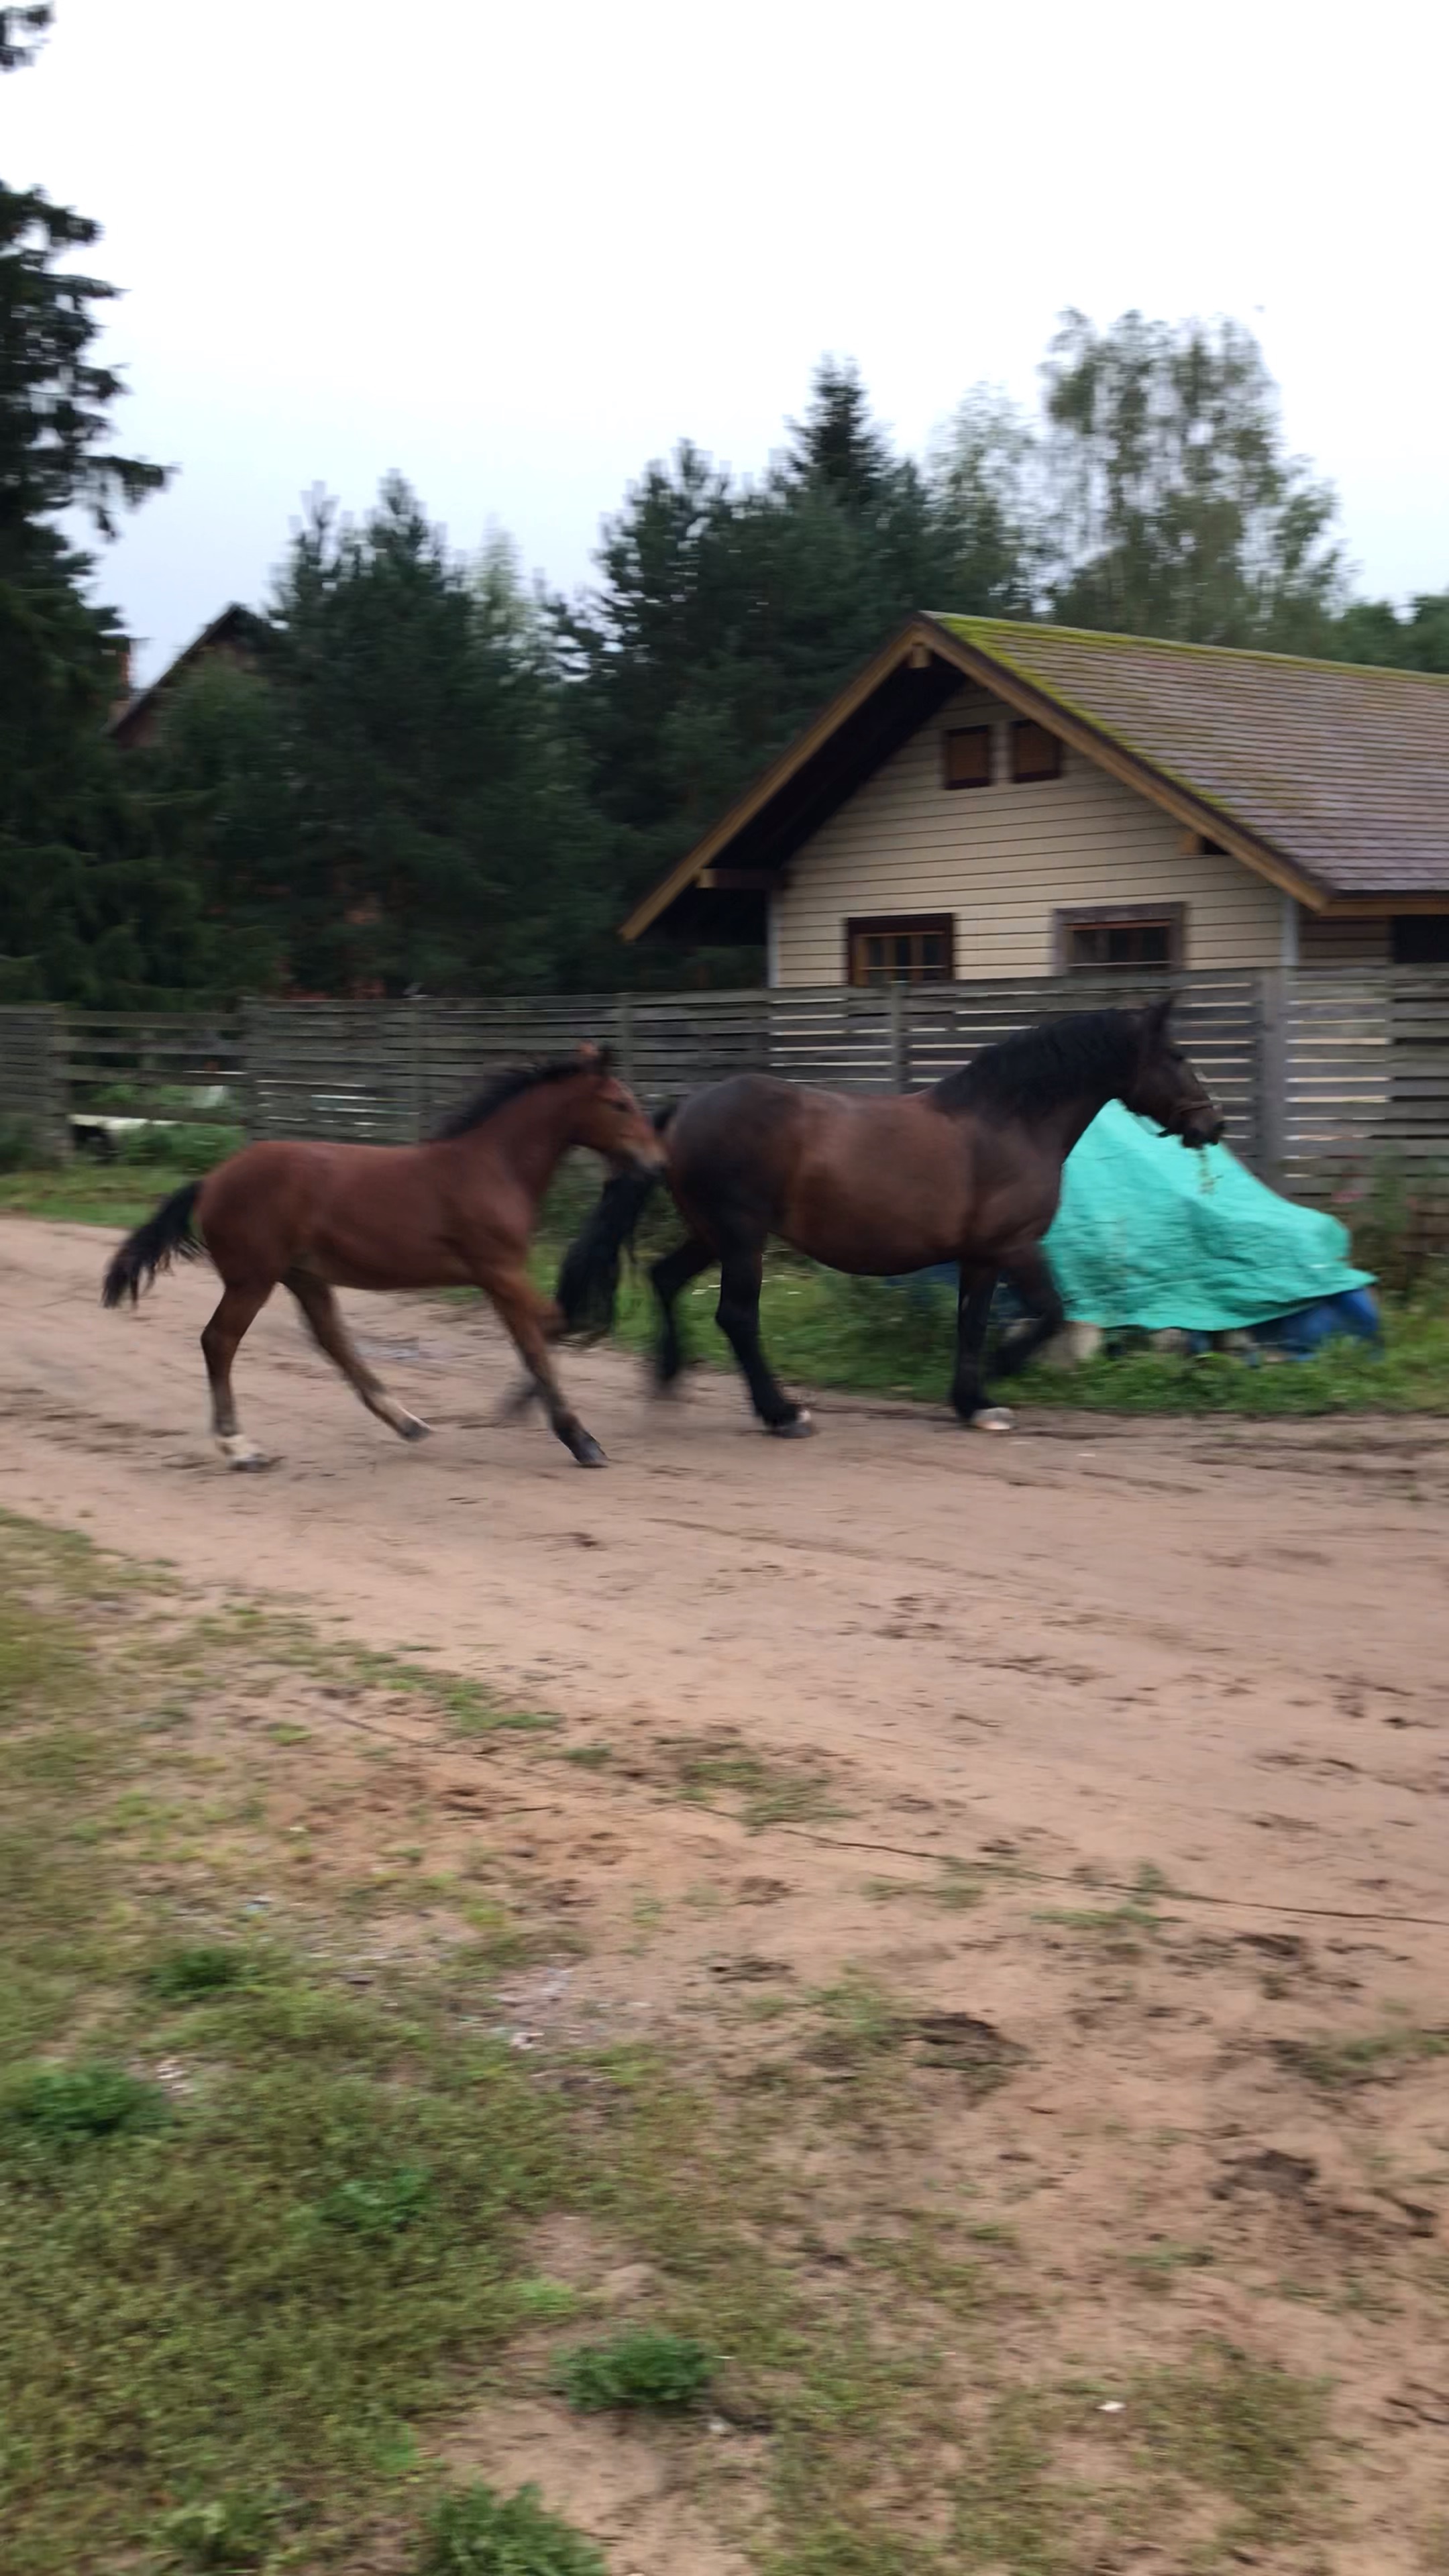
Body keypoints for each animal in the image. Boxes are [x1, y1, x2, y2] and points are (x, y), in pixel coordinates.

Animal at [101, 1040, 659, 1473]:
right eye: (618, 1103)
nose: (655, 1162)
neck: (493, 1167)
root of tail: (212, 1181)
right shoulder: (500, 1270)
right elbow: (546, 1335)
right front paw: (579, 1438)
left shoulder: (496, 1278)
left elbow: (540, 1337)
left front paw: (537, 1413)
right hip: (252, 1278)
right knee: (220, 1341)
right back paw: (241, 1449)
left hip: (303, 1275)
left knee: (335, 1342)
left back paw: (407, 1423)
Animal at [551, 994, 1217, 1442]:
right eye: (1177, 1054)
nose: (1214, 1124)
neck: (1009, 1122)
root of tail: (684, 1111)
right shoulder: (1013, 1246)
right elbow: (1048, 1313)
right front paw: (996, 1380)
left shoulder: (980, 1257)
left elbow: (973, 1325)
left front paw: (973, 1402)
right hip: (741, 1237)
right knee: (736, 1317)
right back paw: (783, 1413)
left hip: (712, 1234)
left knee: (666, 1280)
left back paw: (667, 1380)